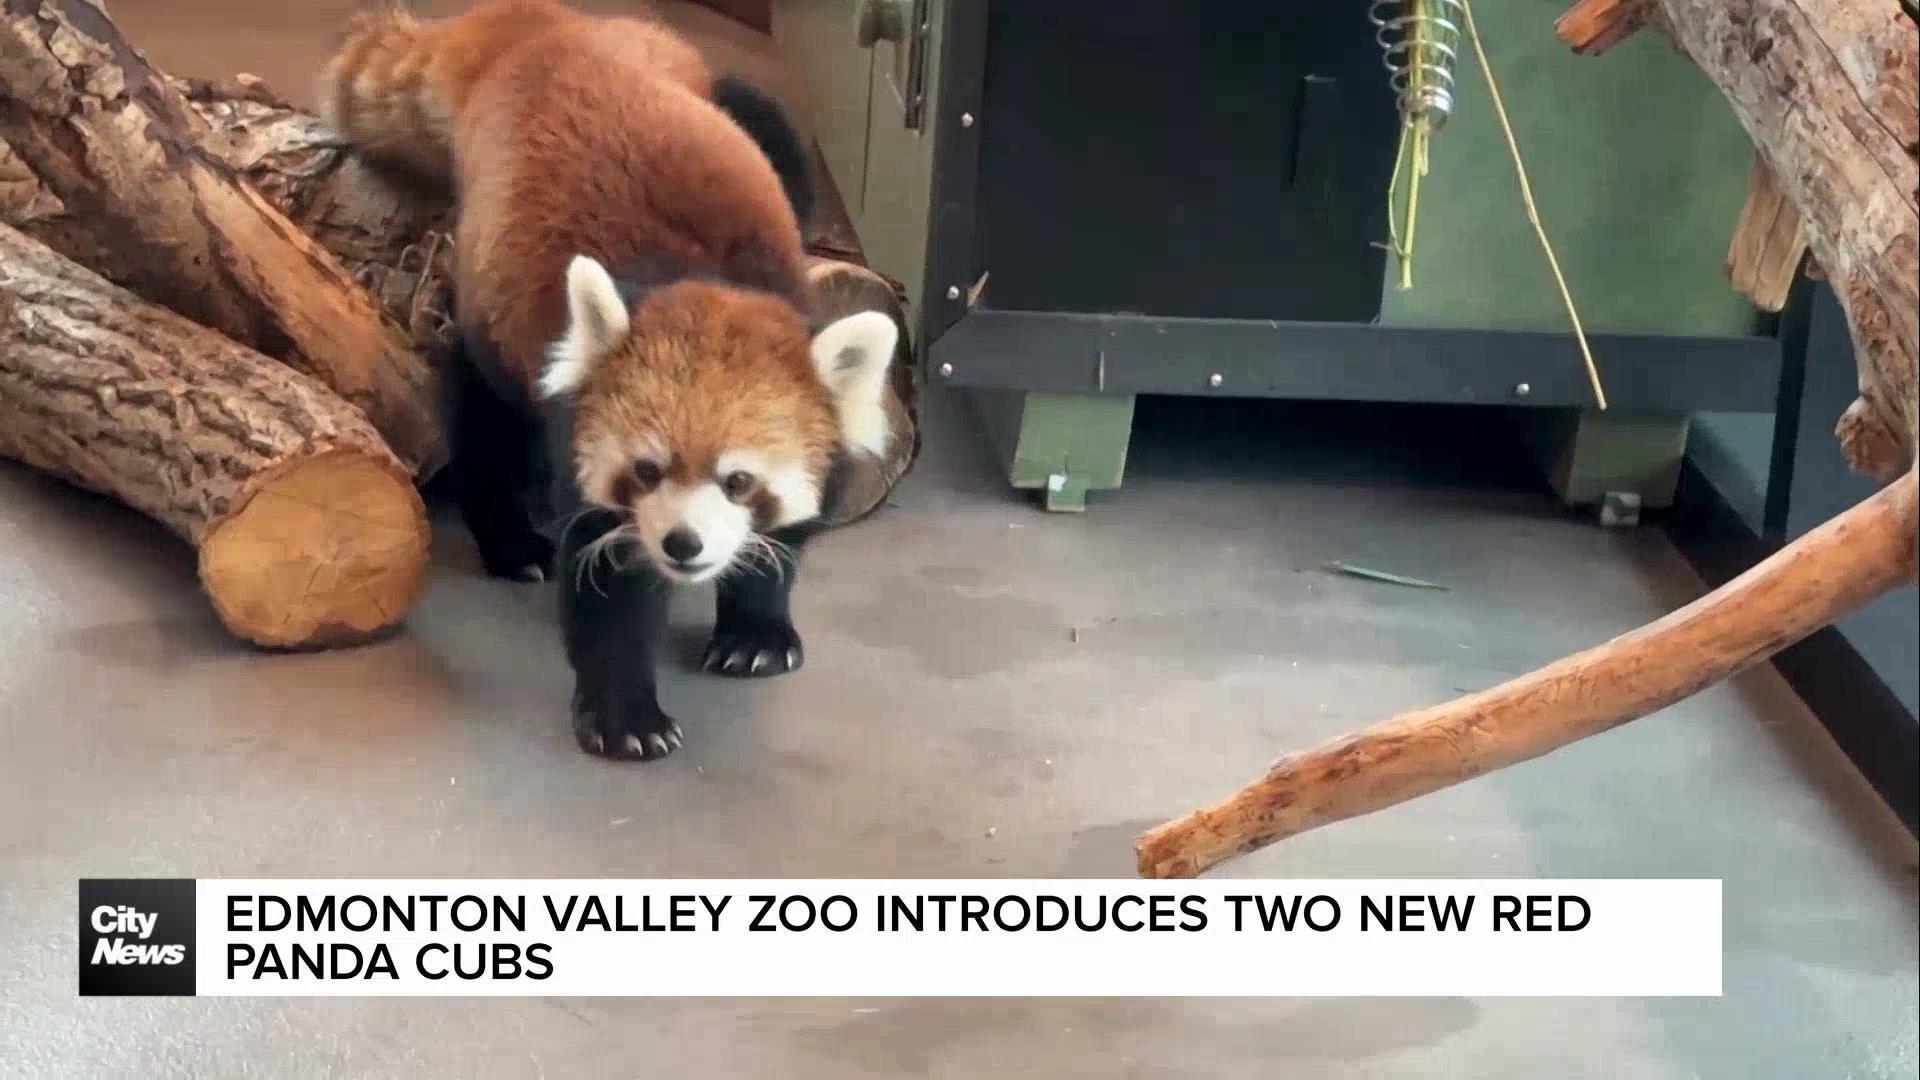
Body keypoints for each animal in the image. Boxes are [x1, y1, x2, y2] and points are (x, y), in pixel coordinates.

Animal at [322, 2, 898, 757]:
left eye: (740, 481)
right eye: (646, 470)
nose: (683, 544)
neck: (699, 281)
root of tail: (547, 29)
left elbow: (782, 545)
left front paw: (756, 631)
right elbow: (608, 586)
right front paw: (625, 714)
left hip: (729, 101)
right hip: (490, 292)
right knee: (483, 403)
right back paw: (510, 541)